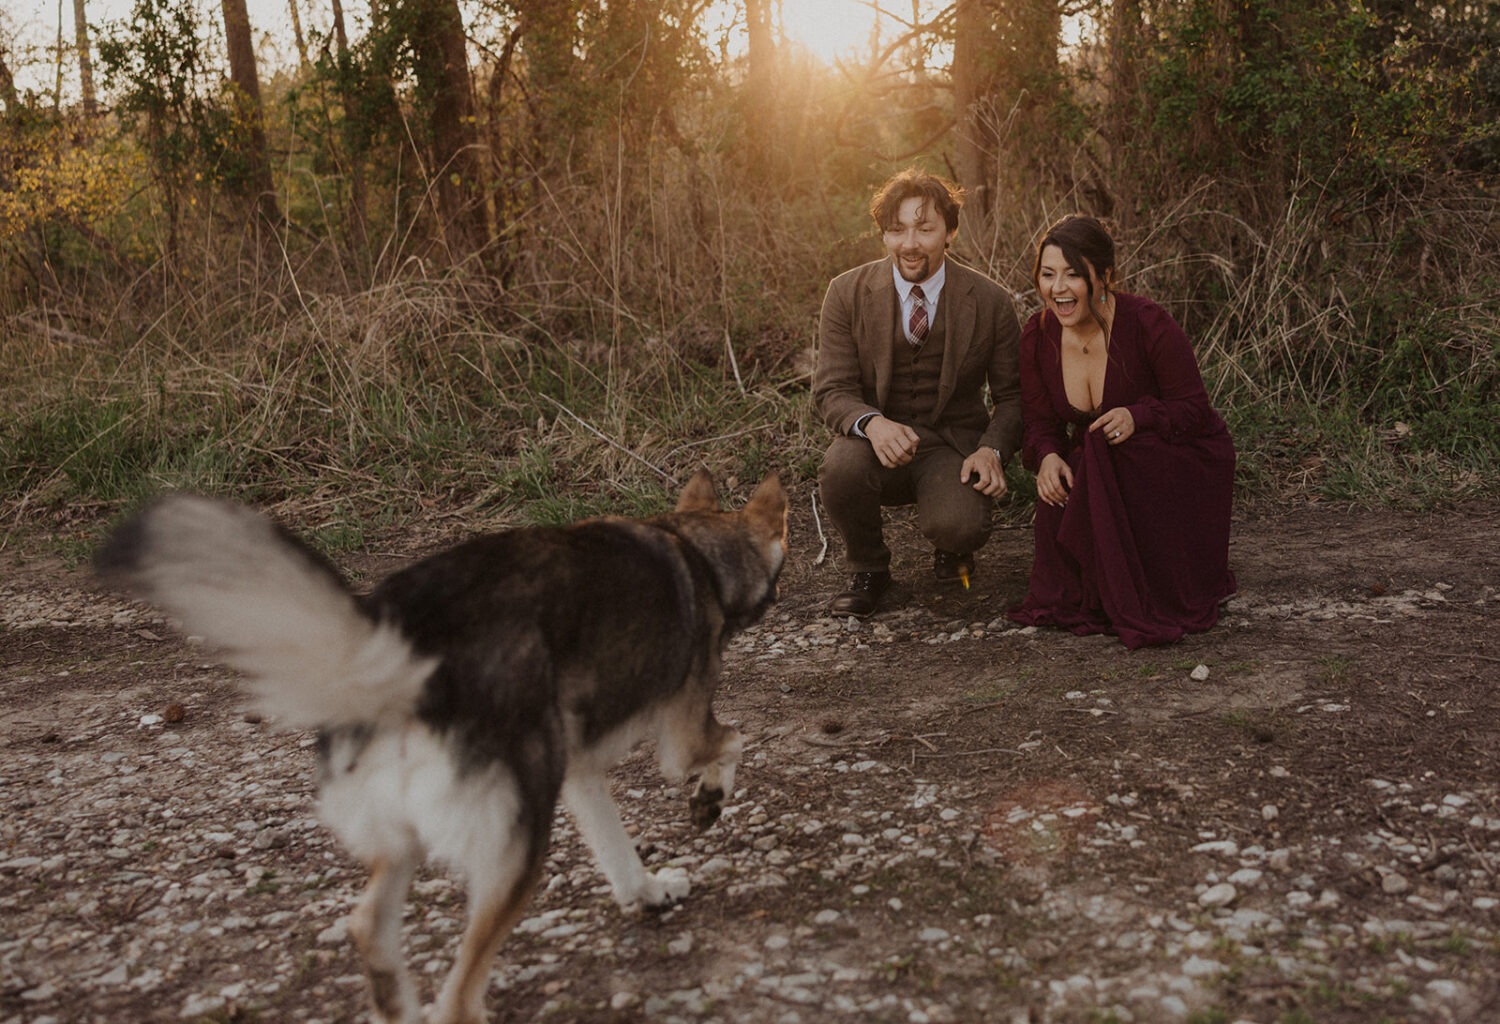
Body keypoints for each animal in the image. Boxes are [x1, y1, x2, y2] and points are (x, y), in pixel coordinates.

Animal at [95, 473, 792, 1024]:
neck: (694, 544)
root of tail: (403, 661)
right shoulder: (683, 735)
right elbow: (733, 742)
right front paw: (709, 800)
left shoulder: (578, 772)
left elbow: (616, 848)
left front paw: (646, 891)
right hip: (515, 854)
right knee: (456, 998)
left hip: (410, 836)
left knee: (368, 926)